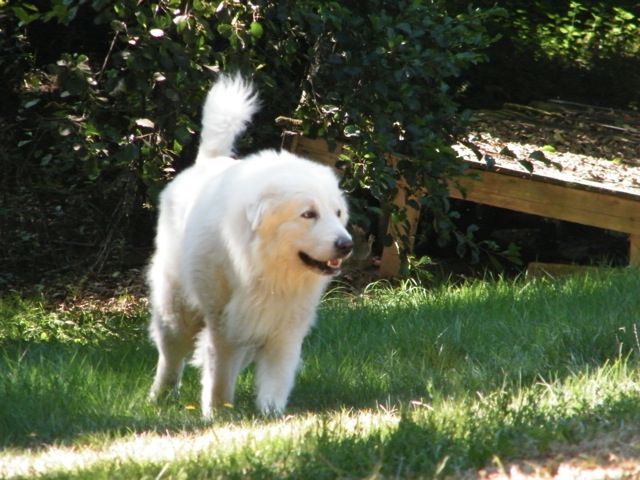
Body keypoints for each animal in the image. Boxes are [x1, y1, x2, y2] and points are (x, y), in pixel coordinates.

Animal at [148, 75, 352, 416]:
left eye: (337, 213)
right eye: (308, 214)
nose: (346, 244)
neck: (264, 268)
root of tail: (208, 161)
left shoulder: (285, 327)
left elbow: (277, 377)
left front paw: (271, 415)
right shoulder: (224, 325)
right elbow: (219, 373)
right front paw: (218, 413)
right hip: (176, 310)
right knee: (171, 355)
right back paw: (159, 397)